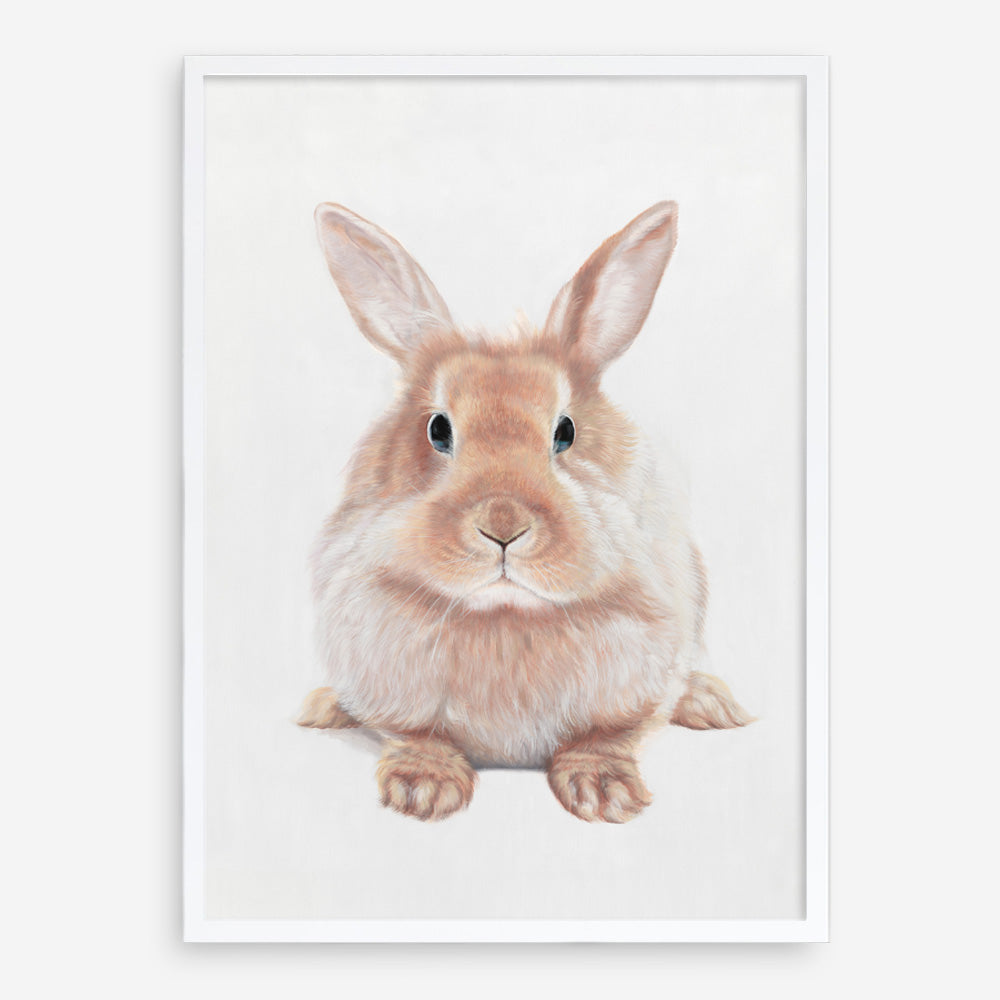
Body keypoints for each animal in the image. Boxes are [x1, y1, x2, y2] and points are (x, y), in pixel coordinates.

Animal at [297, 200, 753, 823]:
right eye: (437, 429)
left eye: (566, 431)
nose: (503, 526)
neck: (505, 615)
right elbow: (416, 735)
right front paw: (423, 789)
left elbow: (606, 736)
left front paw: (605, 794)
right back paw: (323, 707)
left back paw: (713, 703)